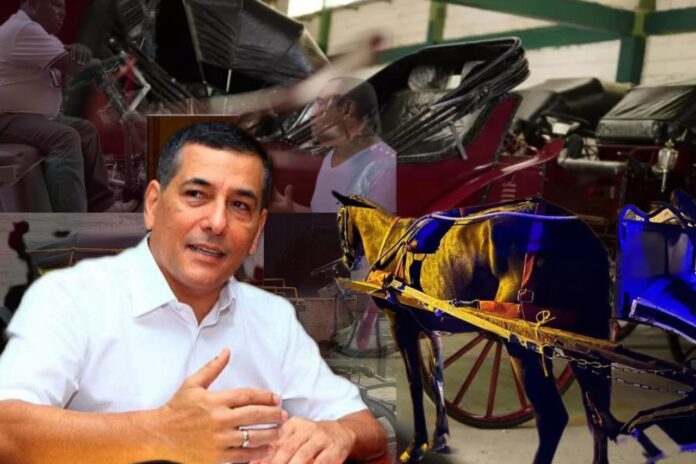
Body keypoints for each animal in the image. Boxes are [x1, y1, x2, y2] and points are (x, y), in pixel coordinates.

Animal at [333, 192, 617, 464]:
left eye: (338, 219)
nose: (343, 263)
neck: (391, 240)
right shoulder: (432, 330)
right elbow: (436, 379)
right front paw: (440, 436)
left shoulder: (401, 325)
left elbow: (415, 384)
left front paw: (416, 446)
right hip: (584, 336)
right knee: (599, 412)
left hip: (522, 342)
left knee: (552, 418)